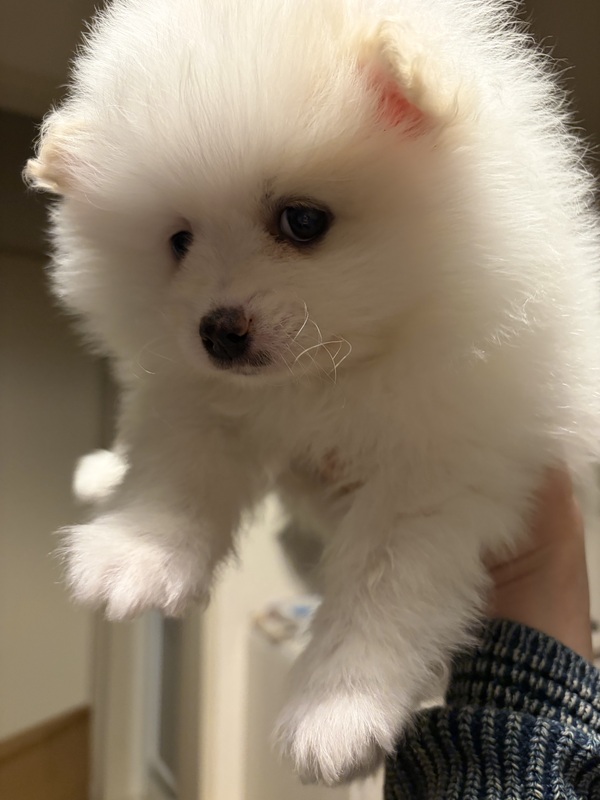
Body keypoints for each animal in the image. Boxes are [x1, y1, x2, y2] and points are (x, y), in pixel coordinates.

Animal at [26, 0, 600, 785]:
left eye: (302, 220)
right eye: (178, 242)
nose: (217, 331)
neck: (326, 378)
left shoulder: (436, 470)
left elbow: (381, 582)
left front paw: (337, 709)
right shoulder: (200, 394)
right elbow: (178, 459)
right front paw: (136, 551)